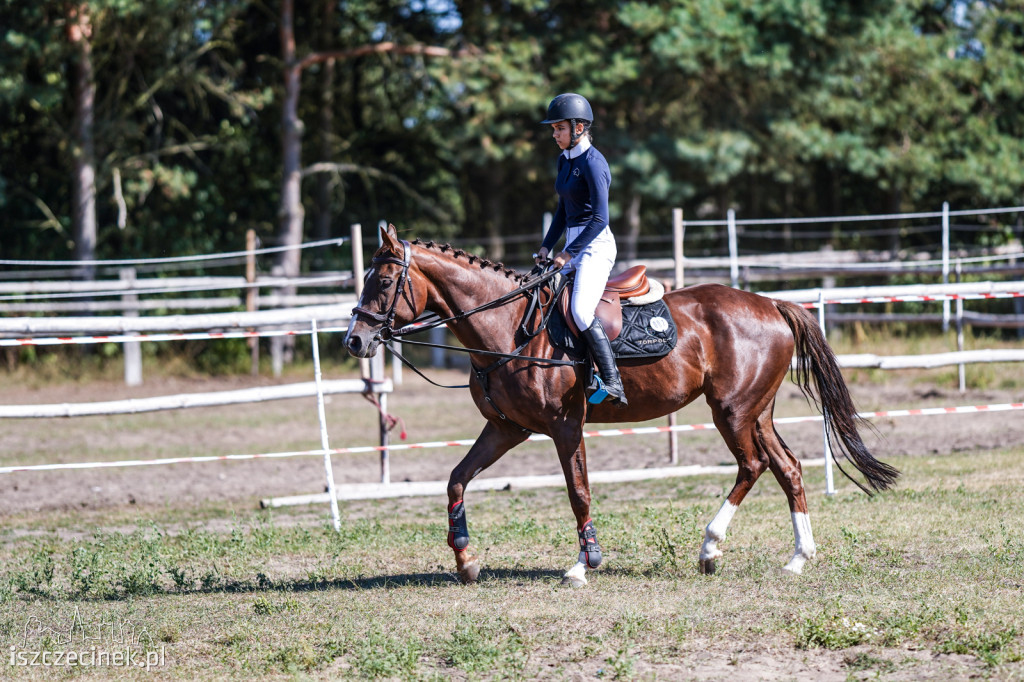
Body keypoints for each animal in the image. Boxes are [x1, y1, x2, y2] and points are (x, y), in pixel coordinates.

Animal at [346, 223, 897, 585]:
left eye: (383, 281)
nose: (355, 341)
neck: (511, 328)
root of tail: (773, 304)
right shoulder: (507, 428)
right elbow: (457, 478)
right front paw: (465, 561)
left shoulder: (565, 427)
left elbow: (579, 493)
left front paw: (584, 563)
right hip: (756, 410)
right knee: (787, 467)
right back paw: (798, 557)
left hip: (732, 410)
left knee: (754, 464)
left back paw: (710, 548)